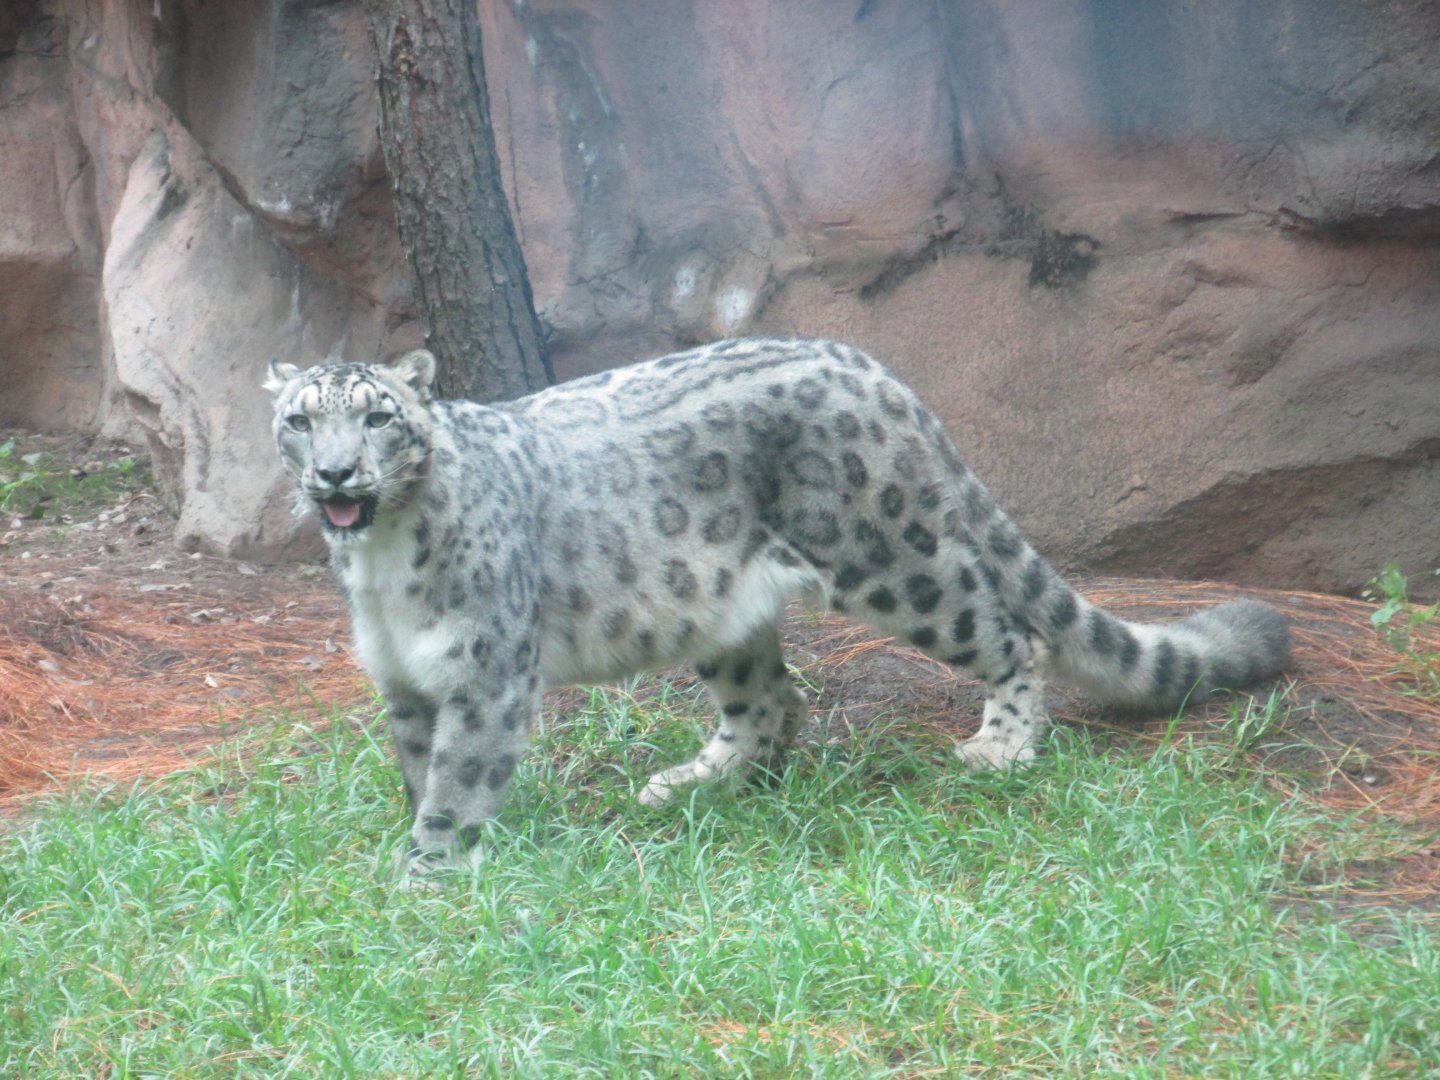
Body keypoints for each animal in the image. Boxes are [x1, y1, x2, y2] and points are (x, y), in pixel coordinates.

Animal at [266, 337, 1290, 881]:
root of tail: (872, 368)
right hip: (718, 610)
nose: (336, 474)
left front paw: (427, 874)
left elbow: (457, 778)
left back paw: (1001, 746)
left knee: (1011, 632)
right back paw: (695, 781)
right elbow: (418, 770)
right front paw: (423, 850)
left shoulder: (485, 670)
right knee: (770, 698)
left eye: (379, 417)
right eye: (300, 420)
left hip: (898, 564)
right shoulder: (407, 679)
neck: (381, 568)